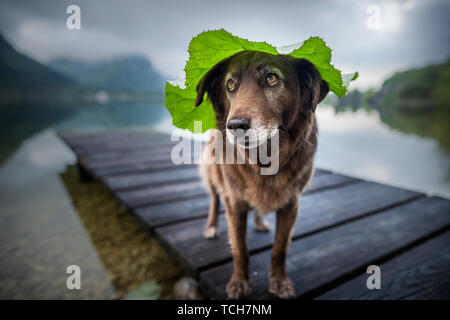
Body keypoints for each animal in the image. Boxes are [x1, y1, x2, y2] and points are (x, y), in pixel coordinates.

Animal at [195, 50, 328, 300]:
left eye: (271, 78)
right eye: (230, 85)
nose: (235, 126)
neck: (264, 159)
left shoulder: (291, 204)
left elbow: (280, 248)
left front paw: (279, 281)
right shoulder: (234, 202)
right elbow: (240, 249)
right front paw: (239, 283)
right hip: (213, 172)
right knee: (214, 198)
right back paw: (211, 226)